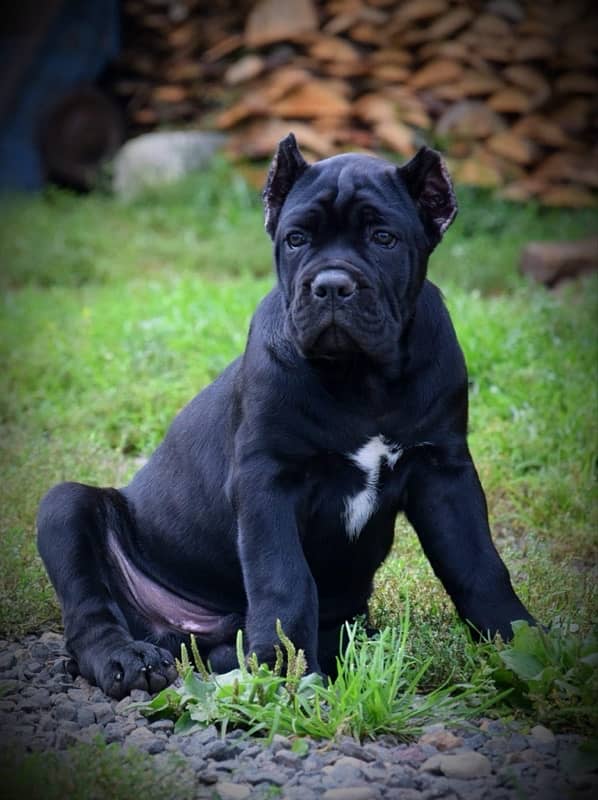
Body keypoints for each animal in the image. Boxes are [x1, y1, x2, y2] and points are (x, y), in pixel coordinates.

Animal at [37, 134, 536, 696]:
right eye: (296, 239)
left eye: (383, 238)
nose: (333, 284)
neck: (362, 379)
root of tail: (181, 631)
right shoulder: (266, 480)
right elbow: (283, 579)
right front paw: (285, 673)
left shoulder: (444, 471)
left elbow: (479, 565)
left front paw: (524, 645)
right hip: (64, 509)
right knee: (90, 612)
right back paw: (130, 660)